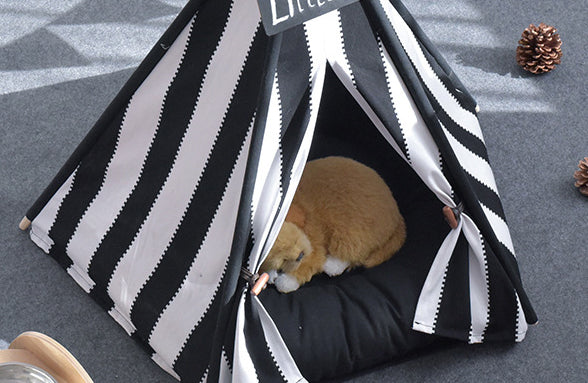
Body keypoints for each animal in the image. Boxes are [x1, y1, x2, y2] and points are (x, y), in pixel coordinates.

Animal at [260, 156, 406, 294]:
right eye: (282, 258)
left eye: (296, 240)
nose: (300, 255)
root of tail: (397, 215)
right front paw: (271, 273)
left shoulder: (314, 241)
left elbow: (311, 261)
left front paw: (285, 281)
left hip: (352, 230)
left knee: (354, 252)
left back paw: (332, 265)